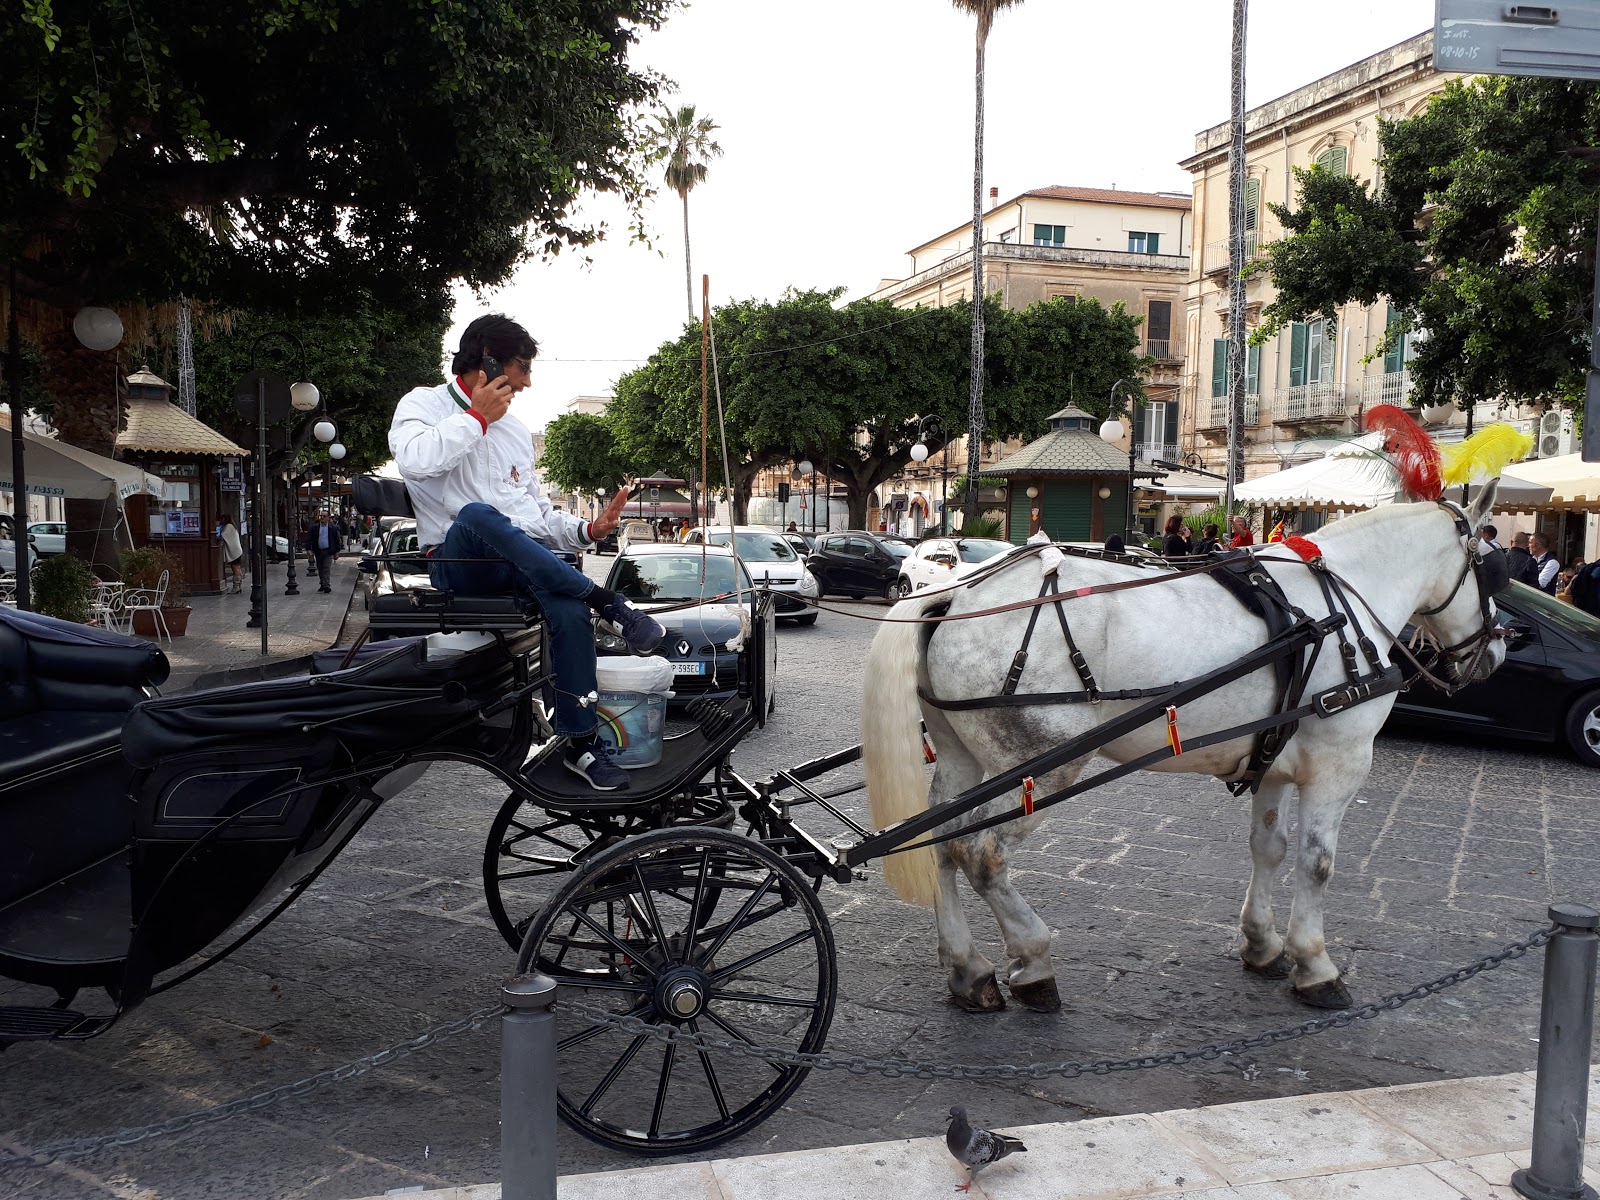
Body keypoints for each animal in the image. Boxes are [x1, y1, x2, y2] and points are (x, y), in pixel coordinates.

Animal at [864, 489, 1497, 1017]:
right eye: (1492, 568)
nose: (1495, 652)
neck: (1340, 603)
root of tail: (957, 592)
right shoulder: (1338, 765)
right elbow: (1316, 864)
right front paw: (1315, 964)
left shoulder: (1274, 760)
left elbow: (1268, 848)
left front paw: (1263, 943)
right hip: (1041, 769)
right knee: (982, 854)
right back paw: (1033, 957)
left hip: (964, 760)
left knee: (942, 844)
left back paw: (968, 969)